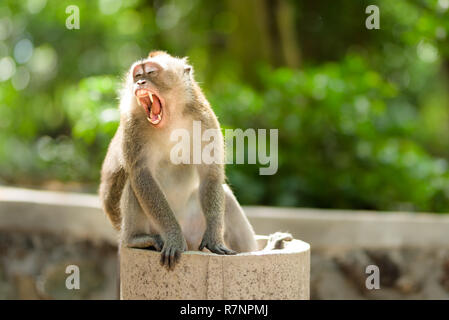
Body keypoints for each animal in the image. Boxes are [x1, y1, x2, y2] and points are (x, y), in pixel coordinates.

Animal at [99, 50, 260, 270]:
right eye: (137, 74)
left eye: (151, 72)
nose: (140, 82)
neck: (170, 119)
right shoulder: (132, 125)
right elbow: (142, 176)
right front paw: (173, 237)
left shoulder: (204, 119)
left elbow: (210, 174)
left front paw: (214, 238)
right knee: (134, 184)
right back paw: (136, 239)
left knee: (225, 195)